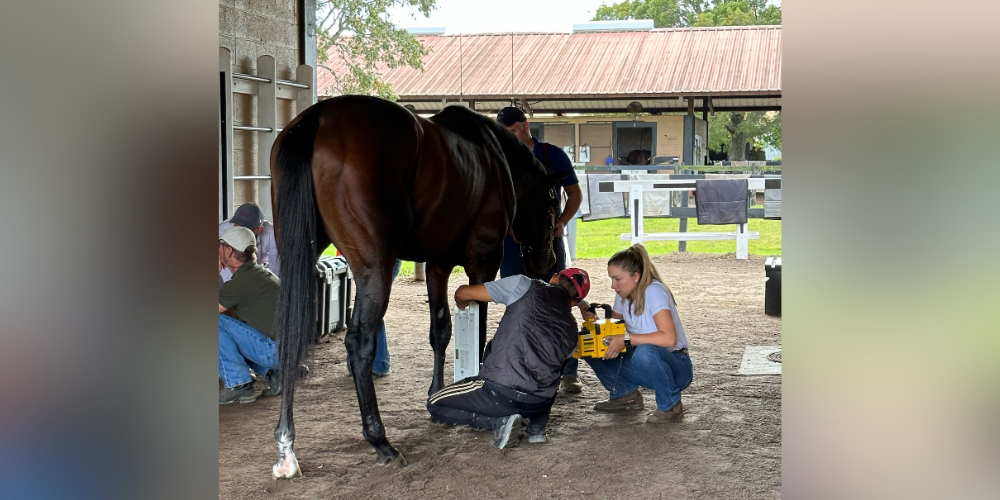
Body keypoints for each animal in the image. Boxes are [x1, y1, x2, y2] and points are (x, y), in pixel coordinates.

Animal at [266, 95, 568, 478]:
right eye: (552, 203)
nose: (546, 263)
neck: (494, 157)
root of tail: (317, 118)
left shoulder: (438, 265)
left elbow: (440, 330)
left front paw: (435, 396)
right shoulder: (483, 259)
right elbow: (479, 328)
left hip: (299, 255)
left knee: (290, 335)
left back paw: (286, 445)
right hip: (375, 268)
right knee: (359, 344)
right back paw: (381, 442)